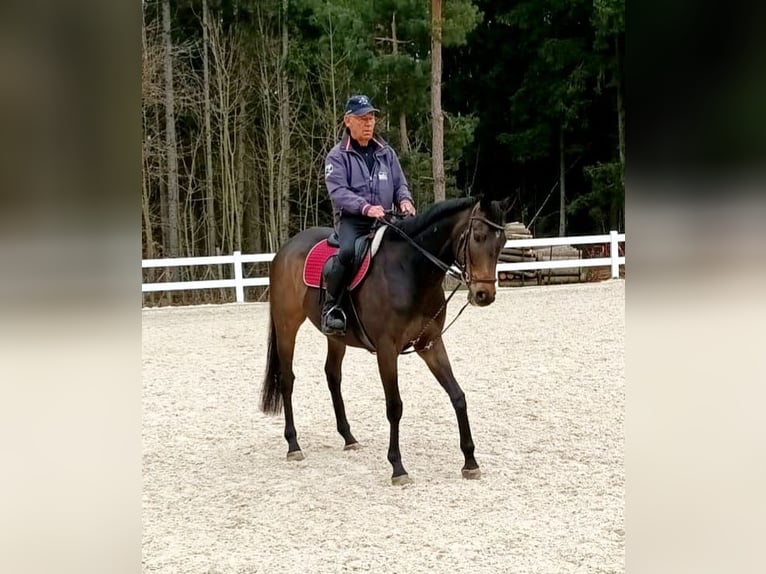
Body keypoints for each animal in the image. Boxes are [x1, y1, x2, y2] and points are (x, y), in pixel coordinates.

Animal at [260, 195, 516, 486]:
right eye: (478, 236)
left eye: (502, 242)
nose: (485, 294)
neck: (411, 271)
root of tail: (285, 250)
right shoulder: (386, 350)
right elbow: (394, 406)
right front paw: (397, 467)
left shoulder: (430, 344)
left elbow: (457, 396)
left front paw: (470, 461)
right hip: (286, 325)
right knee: (287, 380)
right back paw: (293, 444)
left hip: (336, 337)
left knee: (332, 376)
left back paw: (348, 438)